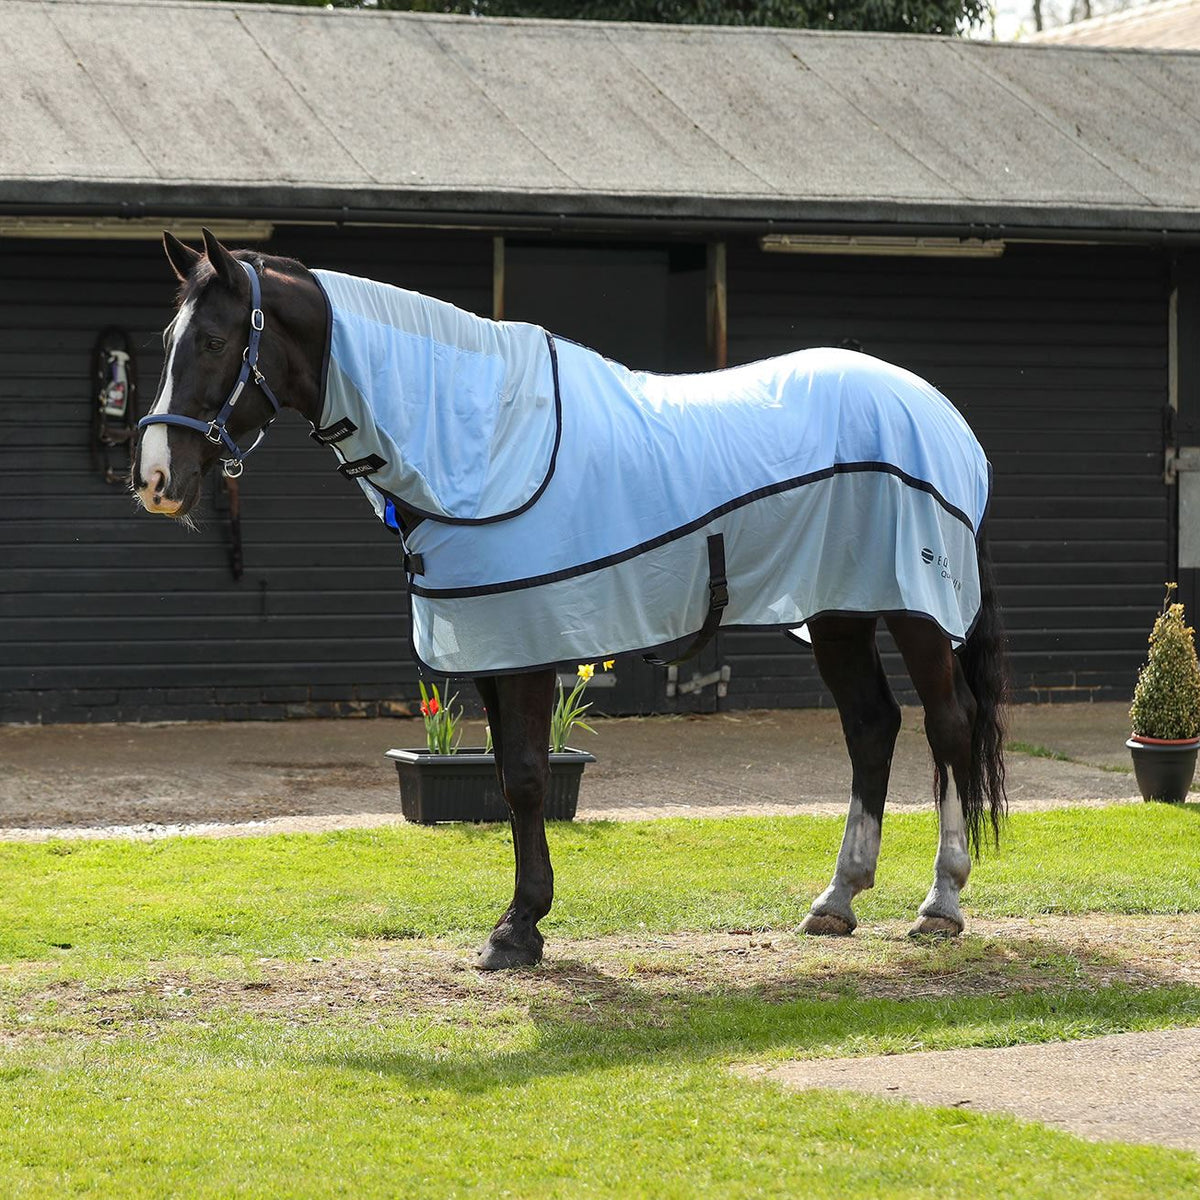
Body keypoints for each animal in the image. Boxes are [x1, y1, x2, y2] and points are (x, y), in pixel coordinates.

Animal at [133, 229, 1008, 970]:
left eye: (213, 342)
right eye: (169, 342)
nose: (154, 480)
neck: (480, 438)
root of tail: (940, 415)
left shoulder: (523, 644)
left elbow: (525, 779)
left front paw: (517, 929)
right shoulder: (492, 642)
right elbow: (507, 775)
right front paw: (520, 924)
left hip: (917, 613)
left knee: (948, 726)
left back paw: (941, 904)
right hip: (838, 612)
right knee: (871, 727)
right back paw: (837, 900)